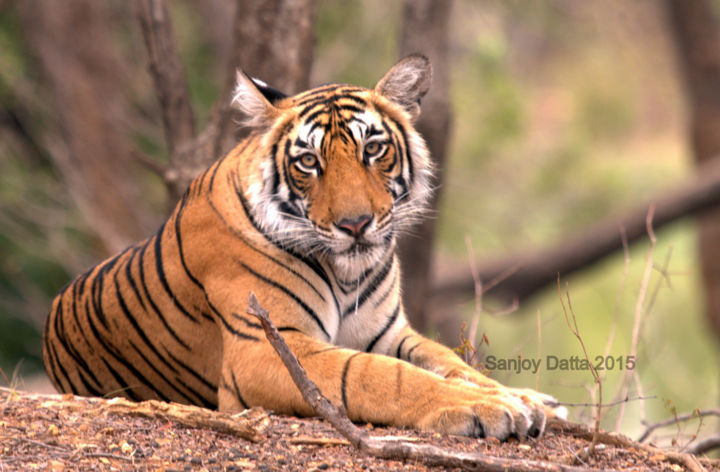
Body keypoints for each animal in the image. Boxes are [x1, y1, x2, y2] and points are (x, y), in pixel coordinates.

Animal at [43, 54, 556, 438]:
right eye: (309, 161)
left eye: (373, 149)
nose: (355, 224)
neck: (348, 273)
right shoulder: (265, 347)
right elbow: (376, 374)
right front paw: (488, 407)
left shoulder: (389, 333)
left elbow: (446, 359)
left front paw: (524, 397)